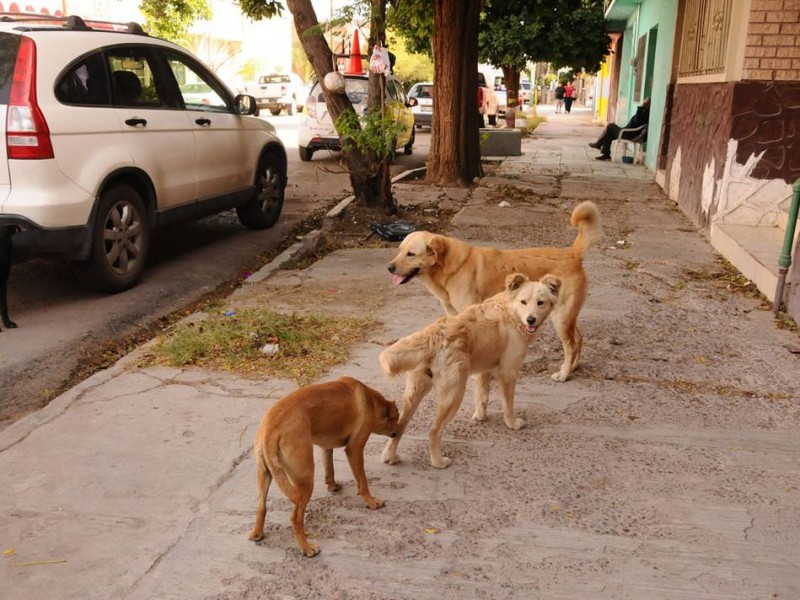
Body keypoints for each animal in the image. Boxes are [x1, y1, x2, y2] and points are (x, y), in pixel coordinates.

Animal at [248, 376, 398, 556]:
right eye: (397, 418)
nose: (398, 432)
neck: (372, 401)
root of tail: (270, 429)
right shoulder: (355, 449)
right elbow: (362, 481)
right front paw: (371, 501)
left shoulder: (326, 447)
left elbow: (329, 469)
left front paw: (333, 486)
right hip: (305, 478)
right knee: (296, 517)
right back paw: (306, 548)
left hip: (265, 475)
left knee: (261, 508)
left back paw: (257, 533)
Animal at [380, 274, 556, 468]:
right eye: (523, 302)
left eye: (540, 303)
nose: (531, 320)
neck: (511, 312)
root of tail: (434, 333)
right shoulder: (508, 371)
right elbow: (508, 404)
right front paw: (512, 424)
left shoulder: (483, 369)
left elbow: (482, 396)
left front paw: (480, 417)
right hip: (454, 395)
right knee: (433, 432)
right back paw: (438, 462)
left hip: (415, 393)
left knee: (399, 426)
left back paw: (390, 457)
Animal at [388, 199, 600, 382]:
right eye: (399, 250)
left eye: (411, 254)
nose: (389, 268)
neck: (449, 266)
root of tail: (572, 254)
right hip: (567, 317)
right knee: (578, 339)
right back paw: (572, 367)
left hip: (560, 318)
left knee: (571, 345)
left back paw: (564, 374)